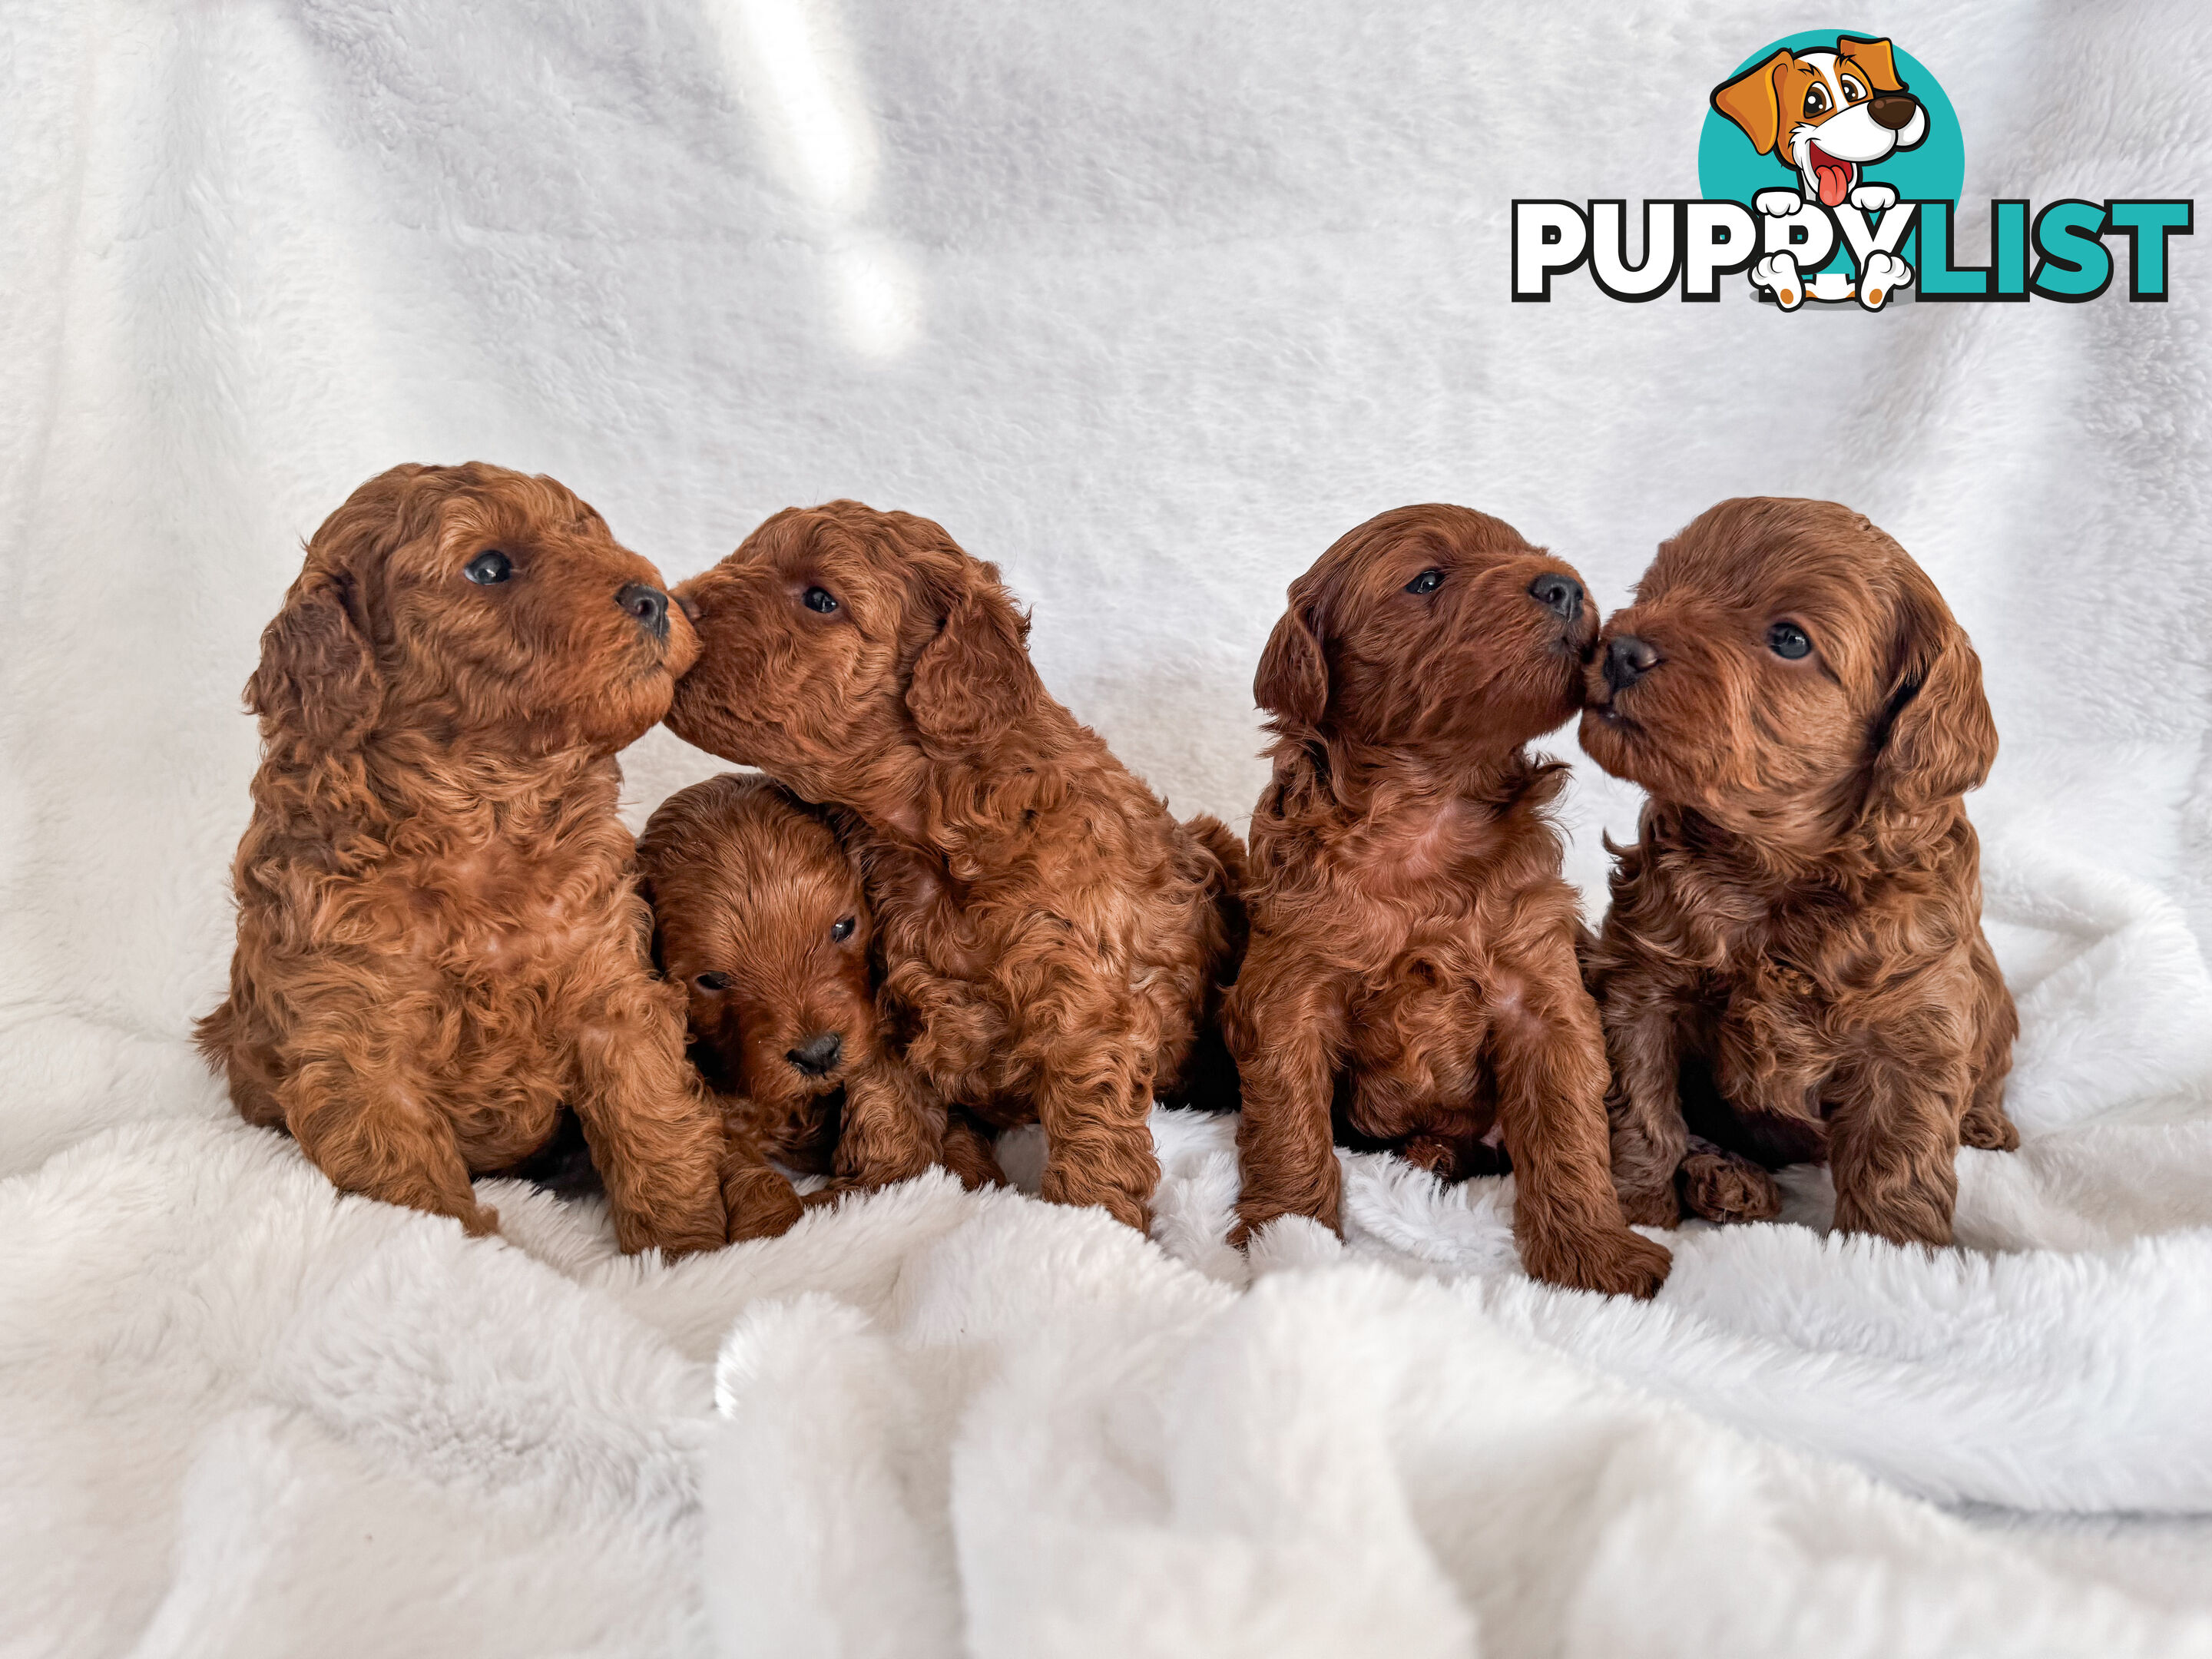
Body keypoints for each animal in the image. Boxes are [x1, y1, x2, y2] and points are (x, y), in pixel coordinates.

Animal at [197, 462, 805, 1256]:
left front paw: (683, 1253)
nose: (654, 598)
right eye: (488, 568)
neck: (482, 814)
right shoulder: (358, 1051)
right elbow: (415, 1197)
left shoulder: (610, 992)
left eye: (590, 535)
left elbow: (655, 1128)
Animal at [1230, 499, 1672, 1309]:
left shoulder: (1542, 993)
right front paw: (1286, 1232)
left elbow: (1567, 1130)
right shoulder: (1291, 990)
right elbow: (1287, 1123)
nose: (1564, 585)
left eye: (1530, 553)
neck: (1430, 806)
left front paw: (1593, 1253)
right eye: (1427, 580)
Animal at [1575, 498, 2026, 1247]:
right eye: (1656, 588)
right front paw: (1639, 1207)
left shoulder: (1914, 1025)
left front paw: (1889, 1251)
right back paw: (1728, 1179)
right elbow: (1639, 1105)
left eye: (1789, 639)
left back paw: (1986, 1123)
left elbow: (1898, 1153)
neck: (1773, 868)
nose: (1621, 649)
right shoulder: (1644, 983)